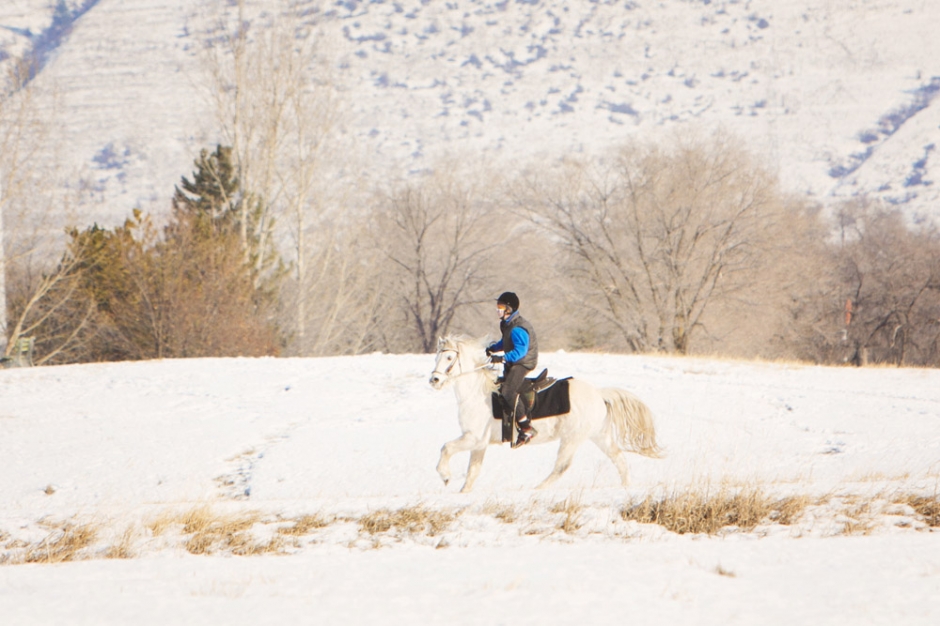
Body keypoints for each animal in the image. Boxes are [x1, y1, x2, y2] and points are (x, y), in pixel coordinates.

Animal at [429, 335, 662, 492]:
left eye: (449, 357)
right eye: (437, 357)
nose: (434, 380)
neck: (479, 393)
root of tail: (598, 394)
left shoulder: (473, 438)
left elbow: (446, 448)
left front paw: (445, 476)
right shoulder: (479, 444)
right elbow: (472, 472)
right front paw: (462, 492)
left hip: (571, 438)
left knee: (562, 466)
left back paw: (538, 489)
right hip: (599, 436)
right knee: (619, 459)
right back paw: (626, 487)